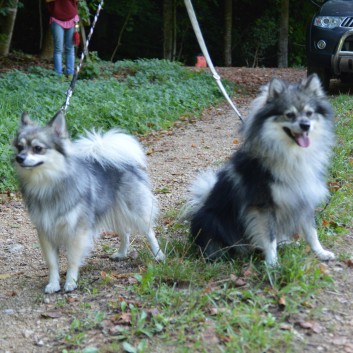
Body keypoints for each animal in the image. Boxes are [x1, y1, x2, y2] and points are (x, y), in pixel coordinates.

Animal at [12, 111, 164, 292]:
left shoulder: (77, 231)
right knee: (124, 232)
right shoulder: (45, 232)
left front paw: (70, 282)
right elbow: (52, 263)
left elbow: (72, 260)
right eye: (19, 147)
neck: (48, 184)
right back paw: (121, 253)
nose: (19, 158)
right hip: (114, 209)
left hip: (135, 210)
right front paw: (53, 284)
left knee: (149, 232)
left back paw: (158, 255)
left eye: (37, 148)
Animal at [184, 75, 336, 266]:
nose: (305, 125)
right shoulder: (263, 206)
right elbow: (269, 238)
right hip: (212, 219)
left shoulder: (304, 197)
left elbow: (312, 233)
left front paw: (321, 253)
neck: (291, 154)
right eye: (289, 114)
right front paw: (272, 264)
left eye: (309, 113)